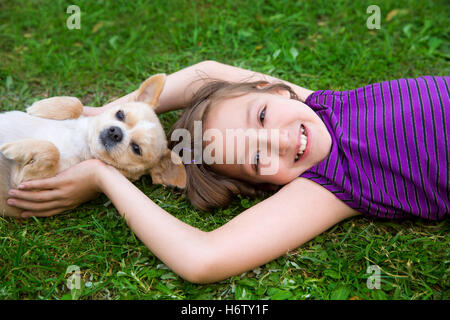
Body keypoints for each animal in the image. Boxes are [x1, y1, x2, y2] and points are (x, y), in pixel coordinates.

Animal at [0, 74, 185, 218]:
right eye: (120, 114)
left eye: (136, 149)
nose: (116, 132)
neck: (83, 141)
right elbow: (77, 103)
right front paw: (42, 107)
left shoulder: (23, 186)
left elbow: (51, 151)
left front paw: (13, 148)